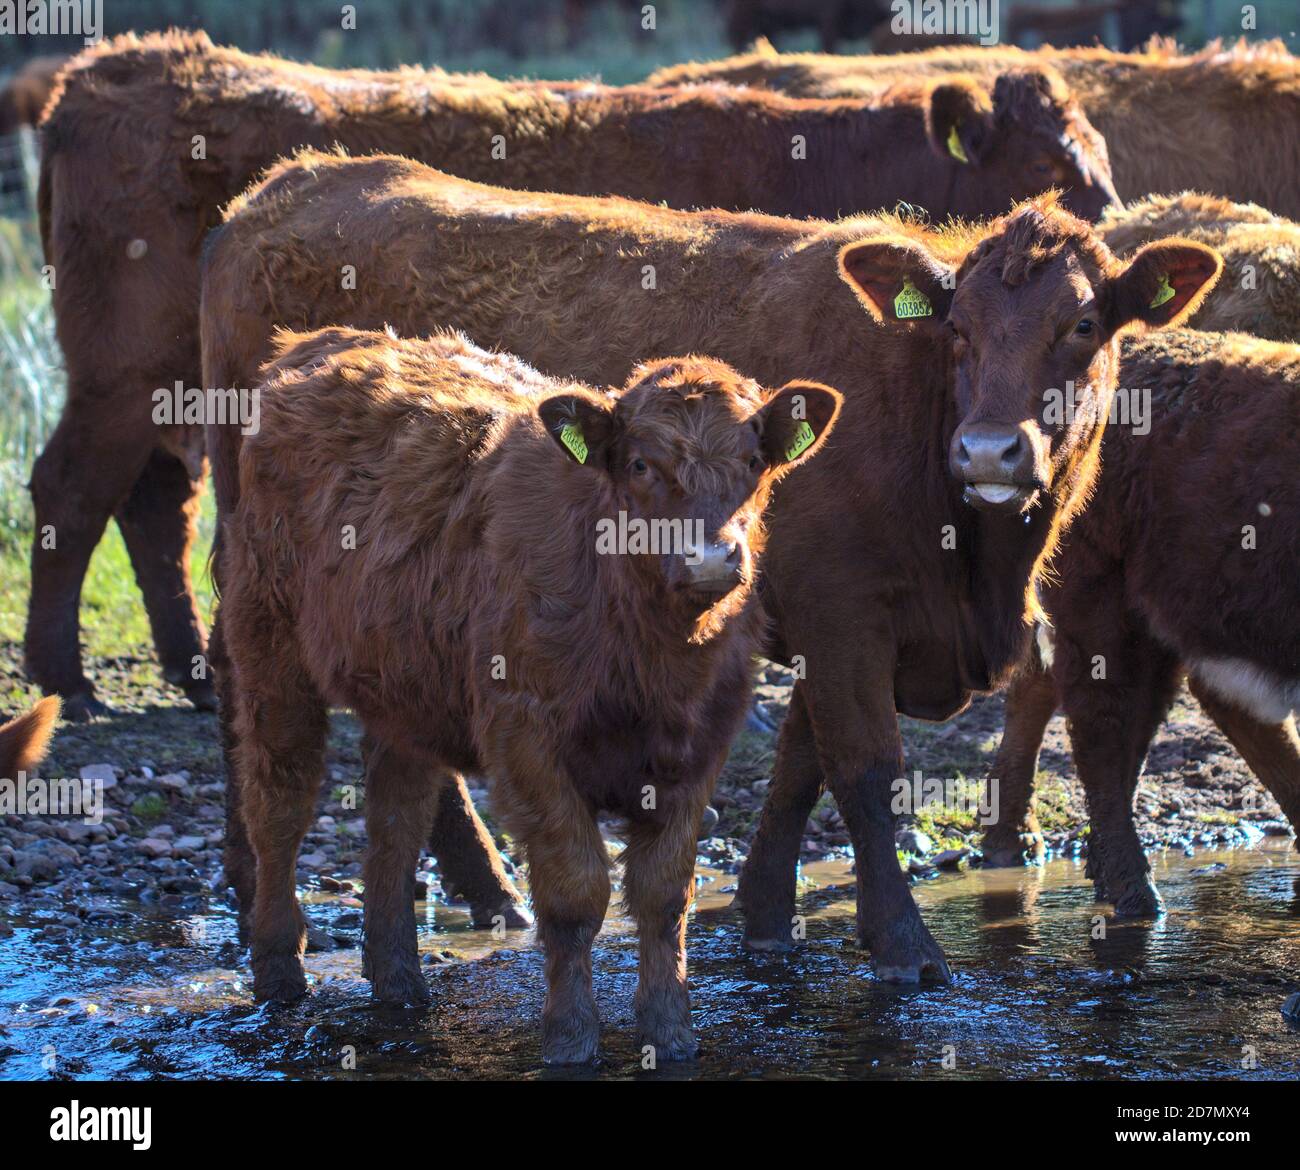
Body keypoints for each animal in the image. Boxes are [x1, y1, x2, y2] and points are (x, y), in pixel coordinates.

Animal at [27, 27, 1118, 722]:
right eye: (1055, 171)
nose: (1122, 217)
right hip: (121, 376)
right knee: (74, 490)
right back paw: (63, 680)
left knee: (151, 502)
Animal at [200, 153, 1216, 977]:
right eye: (957, 327)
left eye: (1083, 325)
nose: (991, 453)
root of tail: (283, 187)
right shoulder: (843, 613)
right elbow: (862, 770)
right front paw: (904, 945)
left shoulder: (824, 619)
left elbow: (800, 768)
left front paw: (765, 916)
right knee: (243, 690)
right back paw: (257, 882)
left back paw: (482, 889)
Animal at [223, 325, 842, 1066]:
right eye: (640, 464)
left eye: (753, 460)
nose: (711, 559)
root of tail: (322, 341)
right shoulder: (527, 739)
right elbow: (576, 892)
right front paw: (571, 1038)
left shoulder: (699, 748)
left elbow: (664, 894)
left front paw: (670, 1031)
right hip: (269, 650)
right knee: (279, 804)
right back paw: (279, 972)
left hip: (401, 690)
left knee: (396, 821)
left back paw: (397, 981)